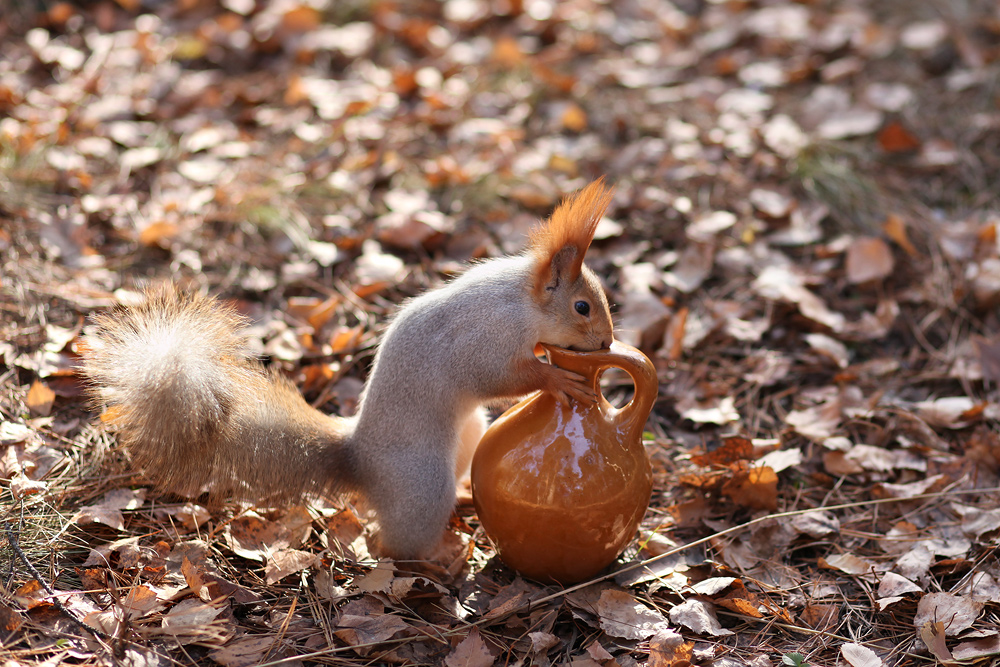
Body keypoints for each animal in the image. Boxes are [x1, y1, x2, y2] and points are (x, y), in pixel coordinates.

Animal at [84, 179, 616, 560]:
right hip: (421, 483)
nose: (609, 342)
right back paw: (439, 559)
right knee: (396, 547)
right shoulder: (483, 339)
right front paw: (554, 378)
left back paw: (464, 506)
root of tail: (360, 458)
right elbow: (499, 377)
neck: (520, 302)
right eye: (583, 307)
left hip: (468, 435)